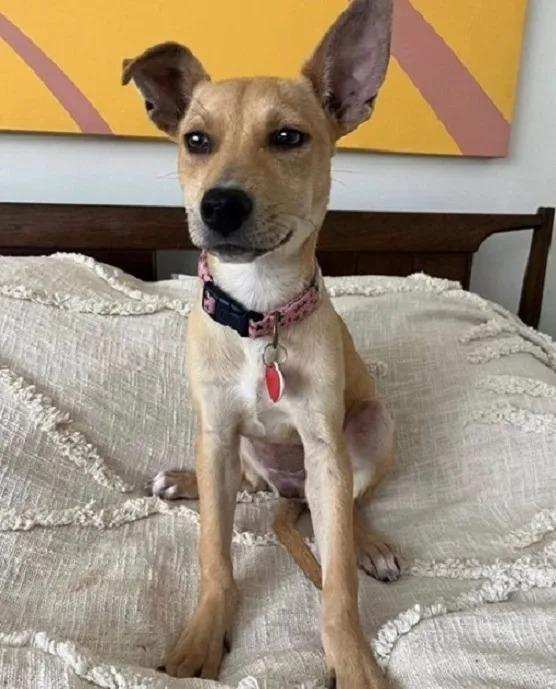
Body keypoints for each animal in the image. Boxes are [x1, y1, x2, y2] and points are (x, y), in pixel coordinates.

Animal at [124, 2, 398, 684]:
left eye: (288, 138)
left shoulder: (325, 448)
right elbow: (213, 554)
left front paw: (352, 659)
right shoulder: (219, 429)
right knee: (241, 486)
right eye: (196, 140)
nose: (220, 205)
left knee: (354, 505)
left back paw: (369, 543)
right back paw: (185, 481)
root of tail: (289, 493)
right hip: (232, 451)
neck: (260, 311)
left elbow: (337, 584)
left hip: (369, 429)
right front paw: (202, 637)